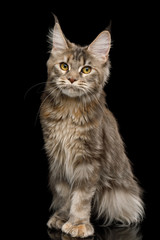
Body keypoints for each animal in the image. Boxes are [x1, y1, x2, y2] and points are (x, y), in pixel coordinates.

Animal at [39, 15, 144, 237]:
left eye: (86, 70)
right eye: (64, 66)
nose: (71, 79)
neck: (69, 111)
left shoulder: (88, 158)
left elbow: (81, 197)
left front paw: (78, 223)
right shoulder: (58, 157)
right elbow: (64, 194)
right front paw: (62, 218)